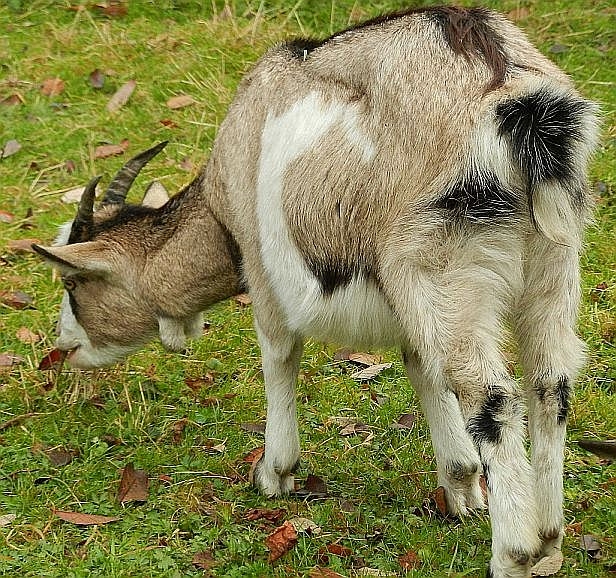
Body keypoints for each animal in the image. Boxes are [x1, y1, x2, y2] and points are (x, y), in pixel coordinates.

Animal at [33, 7, 599, 577]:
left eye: (73, 281)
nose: (62, 348)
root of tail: (519, 104)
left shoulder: (266, 274)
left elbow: (280, 356)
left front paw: (274, 473)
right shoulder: (406, 304)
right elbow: (422, 368)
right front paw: (459, 484)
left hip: (443, 270)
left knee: (492, 397)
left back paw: (513, 553)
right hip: (550, 263)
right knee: (550, 382)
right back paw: (549, 538)